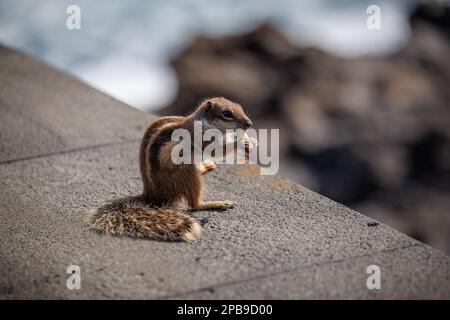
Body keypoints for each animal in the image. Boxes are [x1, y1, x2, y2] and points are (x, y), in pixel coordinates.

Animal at [85, 97, 253, 242]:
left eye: (240, 107)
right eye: (227, 113)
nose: (249, 124)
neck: (202, 123)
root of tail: (152, 195)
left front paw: (247, 141)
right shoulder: (201, 139)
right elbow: (216, 151)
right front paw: (240, 140)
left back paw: (205, 167)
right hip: (185, 173)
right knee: (194, 205)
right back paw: (216, 203)